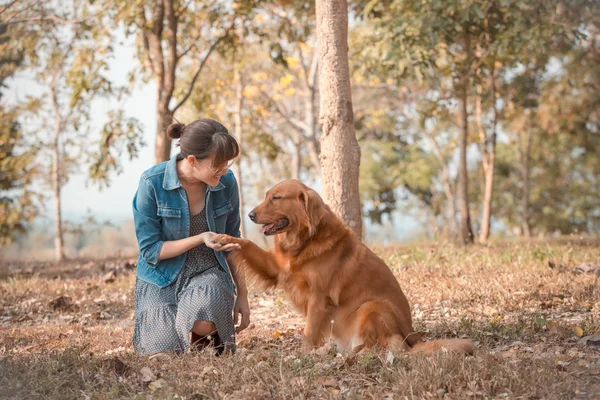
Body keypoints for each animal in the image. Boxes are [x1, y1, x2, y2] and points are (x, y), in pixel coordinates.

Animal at [216, 180, 474, 354]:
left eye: (276, 198)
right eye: (267, 196)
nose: (250, 214)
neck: (305, 241)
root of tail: (413, 337)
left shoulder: (319, 298)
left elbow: (309, 333)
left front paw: (304, 355)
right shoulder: (275, 267)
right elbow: (247, 244)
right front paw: (223, 238)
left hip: (372, 306)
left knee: (388, 346)